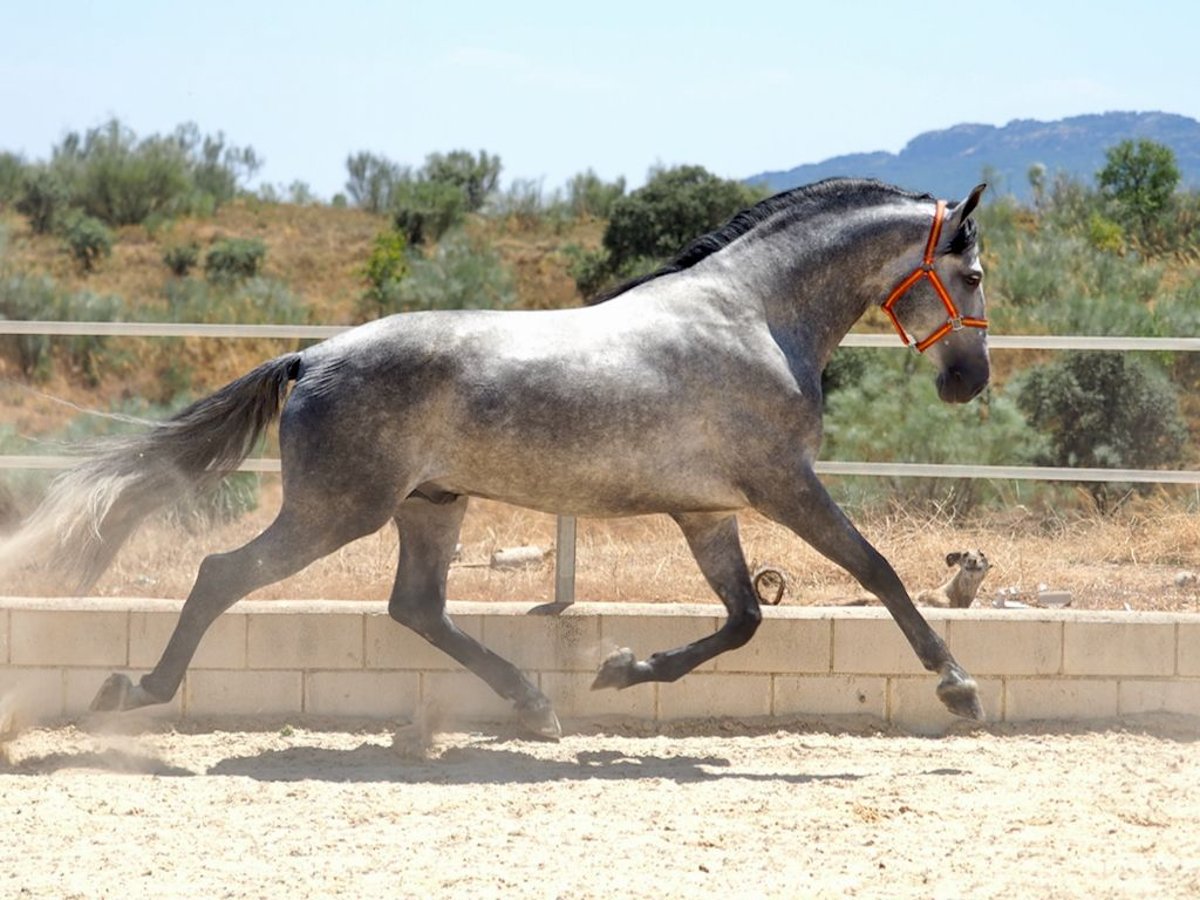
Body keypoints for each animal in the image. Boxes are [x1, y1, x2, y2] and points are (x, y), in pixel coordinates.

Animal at [4, 176, 988, 739]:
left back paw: (536, 704)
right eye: (974, 275)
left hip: (430, 506)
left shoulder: (708, 511)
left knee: (416, 607)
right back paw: (132, 692)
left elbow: (744, 619)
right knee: (221, 575)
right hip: (337, 511)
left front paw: (621, 670)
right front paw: (958, 688)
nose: (968, 381)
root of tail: (312, 356)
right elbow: (878, 570)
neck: (752, 316)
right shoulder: (784, 486)